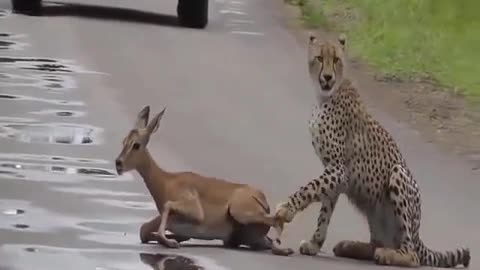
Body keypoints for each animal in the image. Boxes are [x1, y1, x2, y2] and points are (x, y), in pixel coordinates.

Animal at [272, 34, 470, 268]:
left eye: (336, 60)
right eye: (320, 58)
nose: (328, 77)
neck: (327, 95)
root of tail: (418, 233)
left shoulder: (338, 169)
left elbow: (310, 187)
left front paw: (287, 208)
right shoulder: (335, 173)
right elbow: (325, 208)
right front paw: (315, 243)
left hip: (398, 174)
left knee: (412, 255)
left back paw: (389, 255)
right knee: (377, 243)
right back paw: (351, 246)